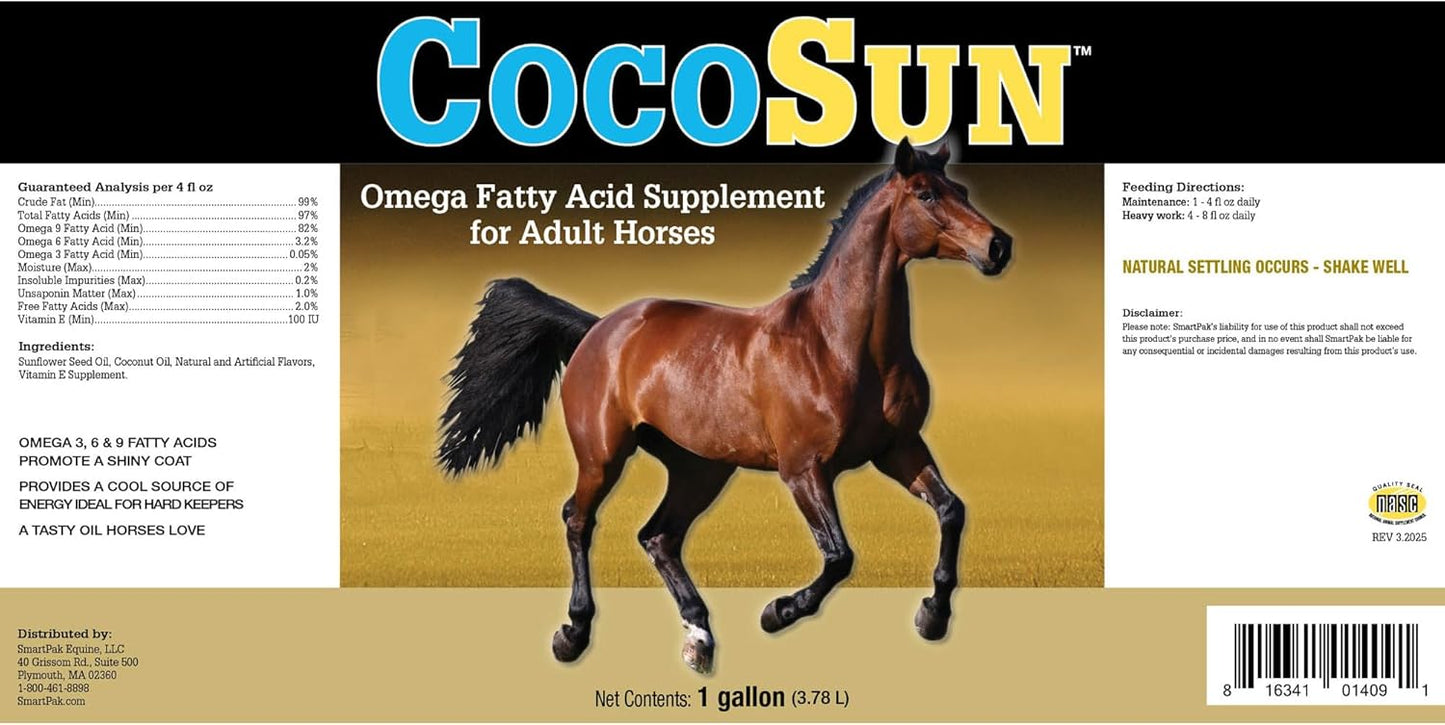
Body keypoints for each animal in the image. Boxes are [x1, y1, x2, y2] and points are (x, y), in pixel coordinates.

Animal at [438, 139, 1012, 674]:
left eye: (962, 191)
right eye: (926, 194)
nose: (998, 246)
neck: (838, 344)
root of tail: (599, 329)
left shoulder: (899, 450)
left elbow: (951, 511)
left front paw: (932, 616)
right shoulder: (804, 469)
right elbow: (839, 556)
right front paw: (777, 612)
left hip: (701, 468)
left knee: (659, 536)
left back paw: (699, 639)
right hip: (603, 456)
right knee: (579, 520)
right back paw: (573, 635)